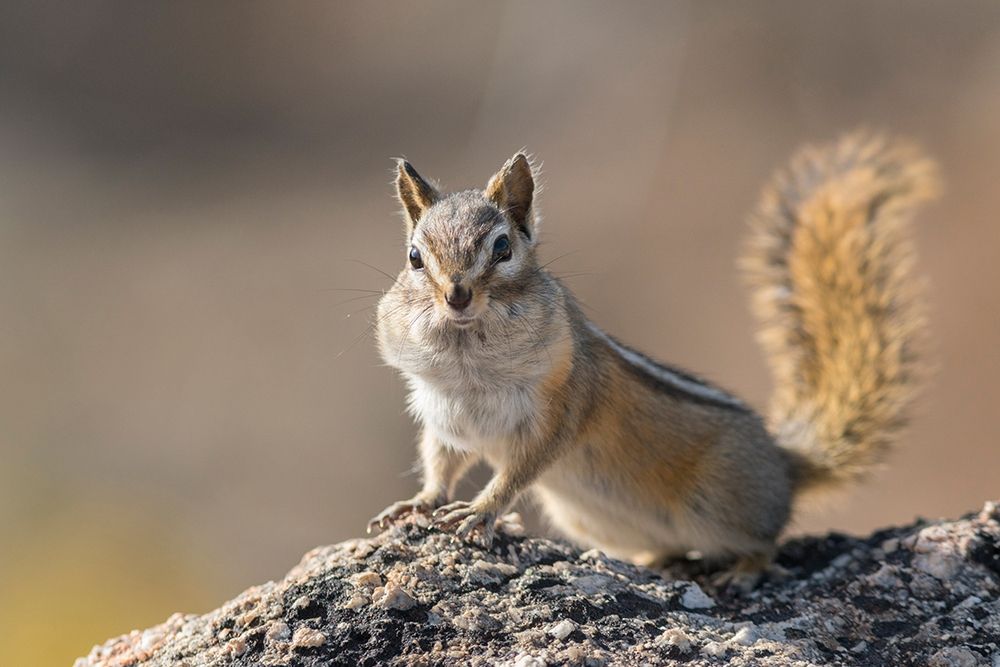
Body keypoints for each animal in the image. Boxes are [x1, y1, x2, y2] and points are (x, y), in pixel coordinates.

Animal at [366, 133, 938, 580]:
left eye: (503, 249)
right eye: (414, 257)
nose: (457, 295)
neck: (470, 364)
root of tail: (783, 465)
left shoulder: (561, 407)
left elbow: (517, 471)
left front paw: (480, 512)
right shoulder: (444, 414)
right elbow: (440, 462)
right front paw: (418, 502)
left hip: (718, 502)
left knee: (766, 540)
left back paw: (742, 571)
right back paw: (655, 562)